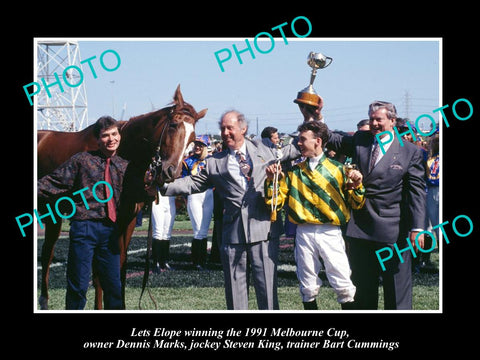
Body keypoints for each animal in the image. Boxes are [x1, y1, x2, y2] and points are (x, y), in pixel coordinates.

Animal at [37, 85, 206, 310]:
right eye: (173, 125)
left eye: (192, 137)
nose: (171, 171)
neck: (122, 149)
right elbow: (100, 274)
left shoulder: (129, 220)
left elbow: (121, 267)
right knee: (47, 253)